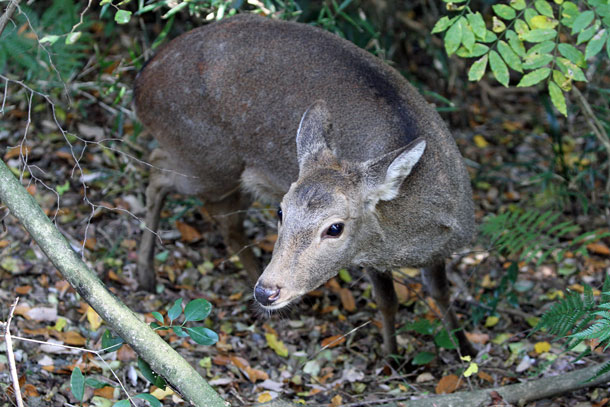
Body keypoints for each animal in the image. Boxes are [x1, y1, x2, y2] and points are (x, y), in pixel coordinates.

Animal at [133, 12, 476, 356]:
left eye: (335, 227)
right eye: (280, 212)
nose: (266, 291)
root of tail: (142, 81)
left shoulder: (440, 250)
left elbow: (441, 292)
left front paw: (466, 349)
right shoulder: (368, 257)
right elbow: (388, 301)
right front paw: (392, 357)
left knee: (222, 218)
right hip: (208, 164)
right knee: (160, 173)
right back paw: (147, 274)